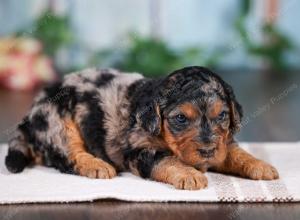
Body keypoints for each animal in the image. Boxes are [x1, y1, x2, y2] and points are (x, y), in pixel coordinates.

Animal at [4, 66, 278, 190]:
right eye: (180, 119)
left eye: (222, 115)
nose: (207, 151)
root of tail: (29, 115)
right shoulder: (139, 151)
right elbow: (167, 161)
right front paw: (189, 175)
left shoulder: (222, 142)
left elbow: (234, 152)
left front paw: (261, 166)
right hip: (57, 120)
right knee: (67, 154)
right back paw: (97, 165)